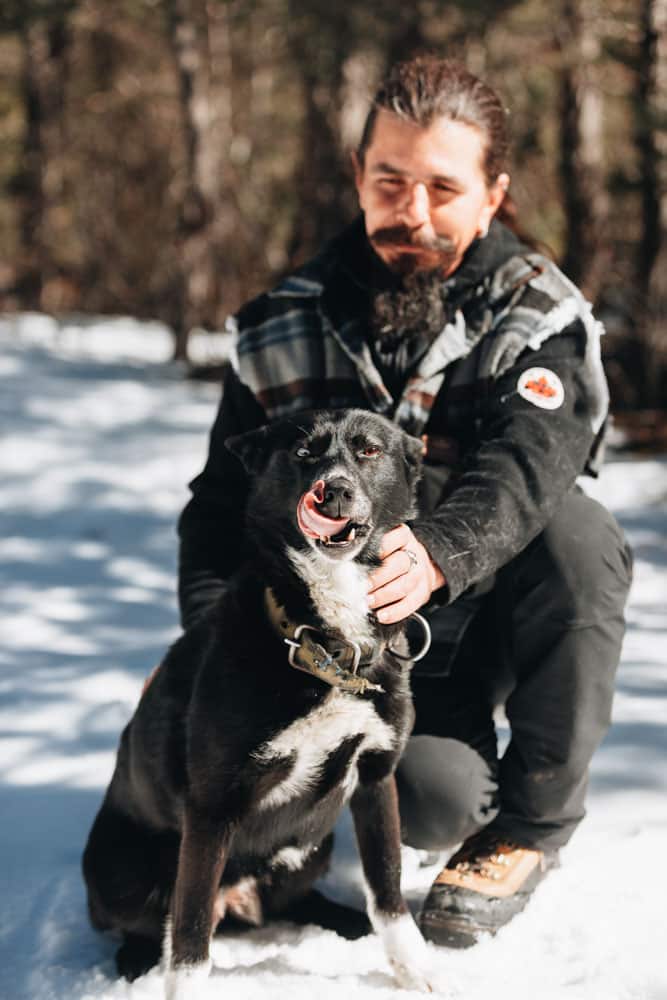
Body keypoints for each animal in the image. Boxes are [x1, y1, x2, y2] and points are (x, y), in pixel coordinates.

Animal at [82, 410, 434, 996]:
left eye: (368, 451)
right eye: (302, 453)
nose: (333, 490)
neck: (326, 644)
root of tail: (240, 902)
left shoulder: (377, 776)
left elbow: (388, 890)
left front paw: (417, 969)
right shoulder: (211, 808)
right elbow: (190, 937)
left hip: (312, 847)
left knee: (294, 900)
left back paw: (343, 920)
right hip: (118, 868)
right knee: (149, 922)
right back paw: (136, 960)